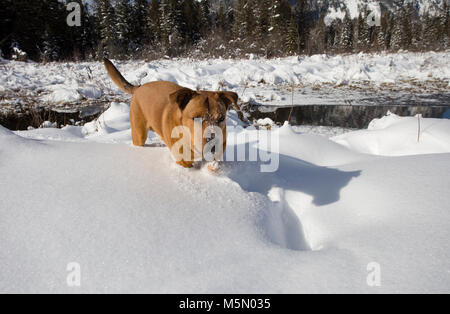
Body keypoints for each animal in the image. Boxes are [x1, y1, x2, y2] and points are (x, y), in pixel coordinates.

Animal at [104, 57, 239, 168]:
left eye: (221, 119)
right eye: (196, 118)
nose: (213, 145)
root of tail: (138, 87)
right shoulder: (184, 161)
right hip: (139, 133)